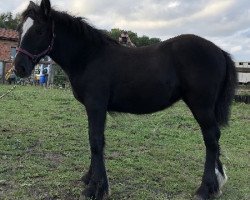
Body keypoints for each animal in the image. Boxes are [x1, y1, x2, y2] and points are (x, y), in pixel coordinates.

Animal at [13, 0, 236, 199]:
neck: (89, 57)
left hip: (201, 106)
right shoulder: (94, 108)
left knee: (211, 139)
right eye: (20, 30)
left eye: (39, 31)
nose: (19, 68)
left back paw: (205, 189)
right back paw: (217, 183)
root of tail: (219, 51)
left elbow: (96, 141)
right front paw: (90, 179)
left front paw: (96, 188)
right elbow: (95, 140)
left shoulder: (96, 106)